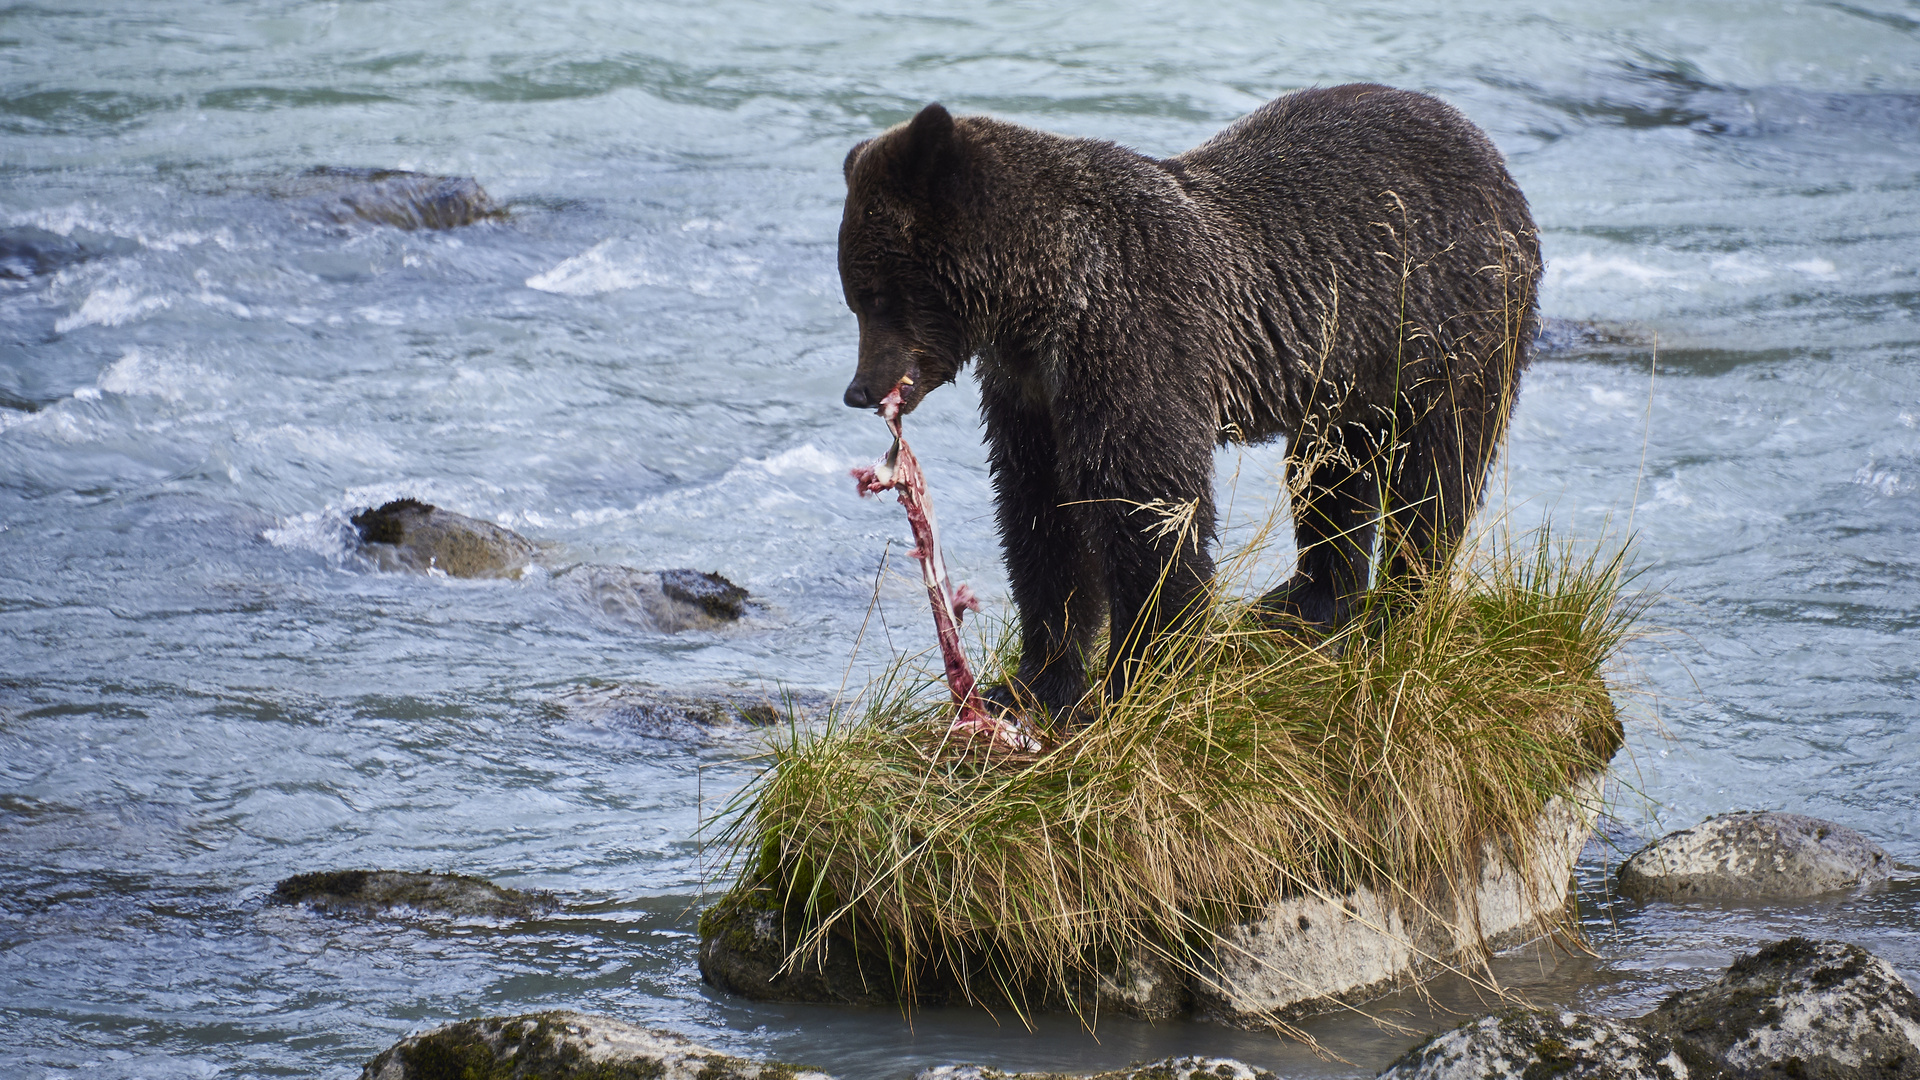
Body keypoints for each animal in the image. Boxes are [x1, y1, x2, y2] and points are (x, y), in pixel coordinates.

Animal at [840, 84, 1543, 714]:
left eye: (875, 293)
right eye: (855, 295)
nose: (858, 389)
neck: (1042, 300)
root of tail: (1490, 155)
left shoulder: (1137, 340)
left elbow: (1149, 508)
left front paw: (1137, 674)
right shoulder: (1031, 393)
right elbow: (1042, 518)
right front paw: (1033, 683)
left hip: (1448, 328)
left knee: (1435, 476)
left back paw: (1393, 606)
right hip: (1345, 375)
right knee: (1330, 476)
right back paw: (1305, 602)